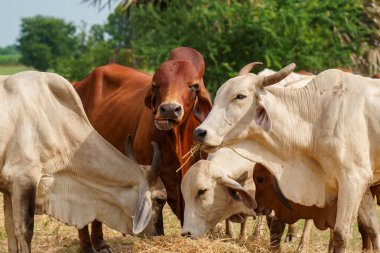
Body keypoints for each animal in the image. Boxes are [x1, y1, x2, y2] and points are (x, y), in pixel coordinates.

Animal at [0, 71, 166, 253]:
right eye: (160, 200)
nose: (160, 234)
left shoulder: (9, 188)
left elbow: (10, 229)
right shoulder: (22, 178)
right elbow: (24, 231)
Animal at [72, 47, 212, 251]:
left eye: (193, 86)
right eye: (155, 85)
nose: (169, 109)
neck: (177, 138)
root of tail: (78, 83)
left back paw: (100, 243)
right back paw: (87, 246)